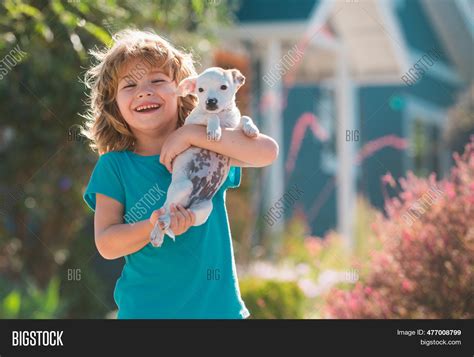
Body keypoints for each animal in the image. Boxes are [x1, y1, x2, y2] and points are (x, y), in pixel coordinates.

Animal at [150, 67, 260, 246]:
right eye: (200, 90)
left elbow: (244, 117)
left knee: (173, 216)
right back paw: (157, 232)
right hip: (183, 186)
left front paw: (251, 128)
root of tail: (187, 204)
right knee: (165, 209)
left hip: (204, 210)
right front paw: (214, 130)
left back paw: (166, 224)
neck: (223, 116)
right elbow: (210, 116)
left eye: (223, 87)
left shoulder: (234, 126)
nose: (210, 101)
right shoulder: (193, 121)